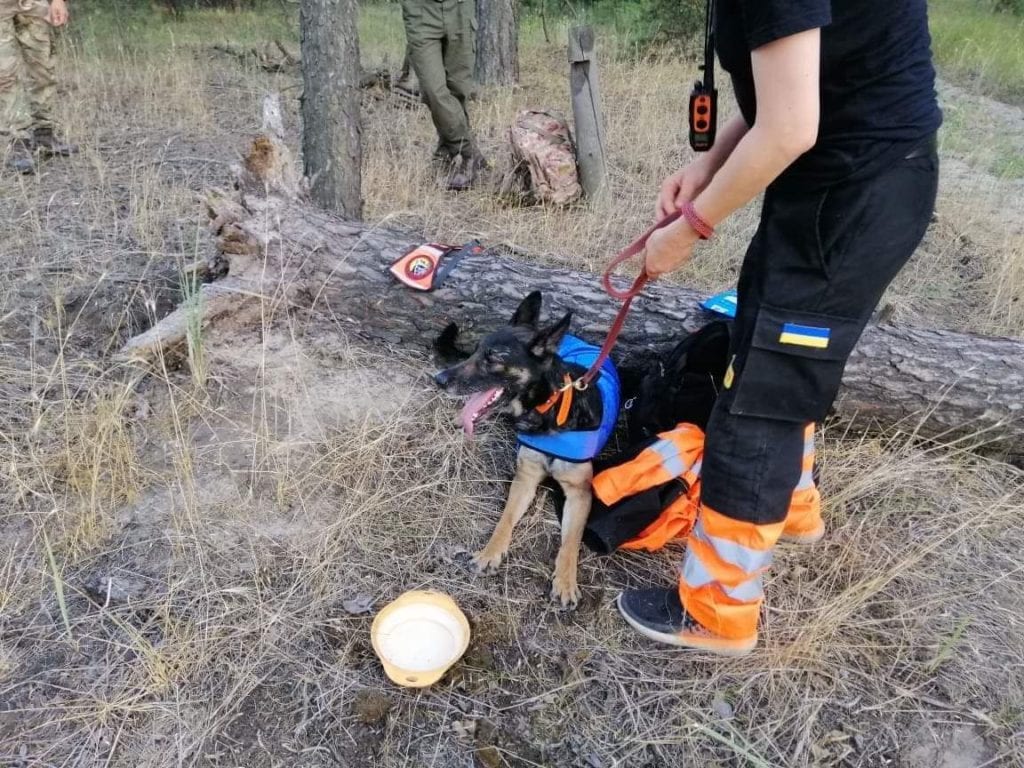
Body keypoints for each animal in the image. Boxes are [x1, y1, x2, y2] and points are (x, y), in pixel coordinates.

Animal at [434, 290, 606, 606]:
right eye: (475, 351)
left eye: (492, 358)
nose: (438, 379)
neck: (546, 410)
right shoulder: (525, 478)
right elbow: (505, 519)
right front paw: (490, 553)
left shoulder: (580, 493)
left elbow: (571, 541)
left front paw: (565, 581)